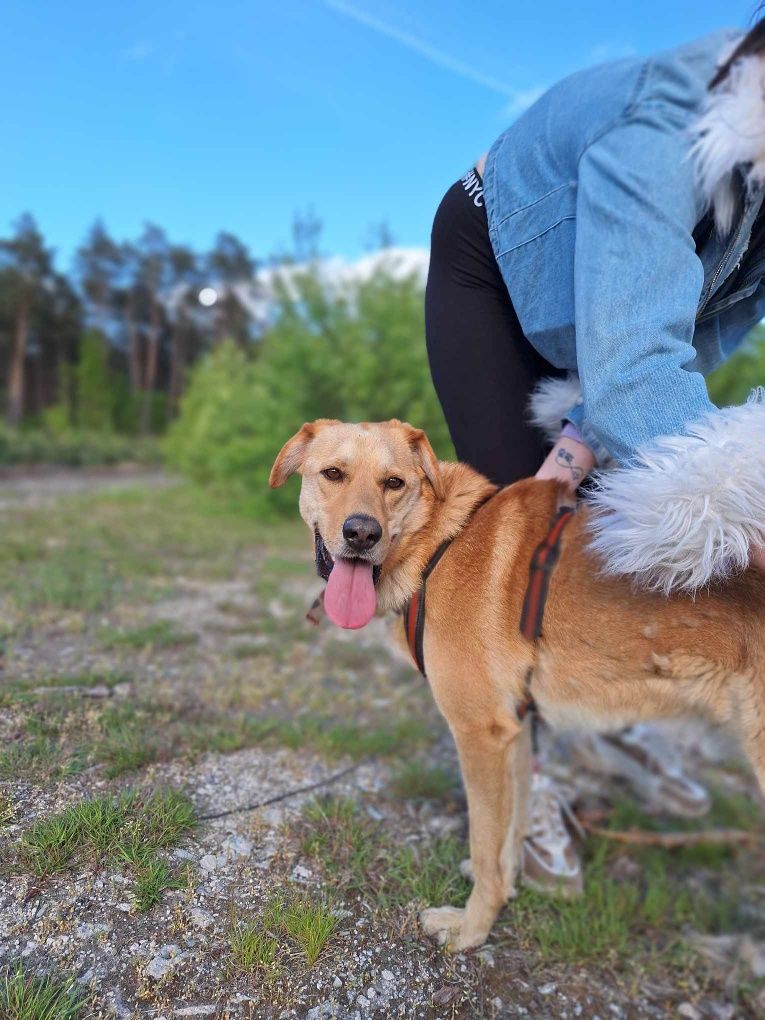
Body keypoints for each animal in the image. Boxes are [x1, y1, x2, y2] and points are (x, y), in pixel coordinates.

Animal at [267, 418, 765, 950]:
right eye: (333, 474)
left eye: (393, 483)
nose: (361, 533)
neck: (438, 542)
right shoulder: (516, 728)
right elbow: (509, 831)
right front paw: (502, 892)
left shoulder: (480, 734)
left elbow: (486, 839)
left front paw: (471, 927)